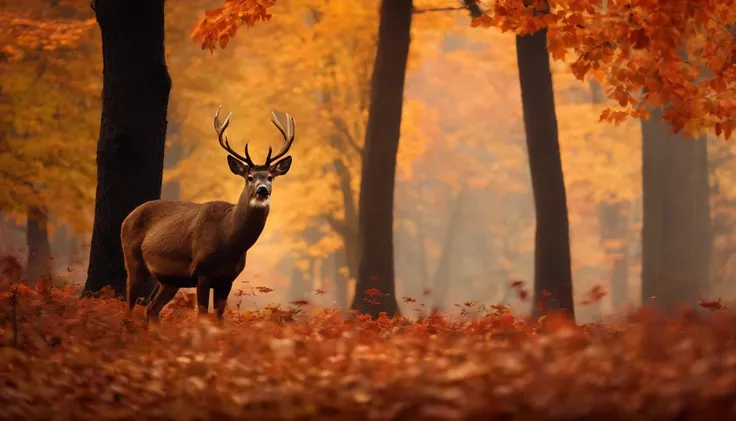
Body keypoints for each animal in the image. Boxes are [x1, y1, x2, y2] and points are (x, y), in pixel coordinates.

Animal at [120, 105, 294, 322]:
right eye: (250, 177)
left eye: (270, 177)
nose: (262, 190)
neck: (228, 240)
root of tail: (127, 217)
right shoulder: (202, 272)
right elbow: (202, 317)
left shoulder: (227, 279)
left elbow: (218, 319)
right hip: (133, 261)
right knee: (129, 307)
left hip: (170, 280)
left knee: (151, 309)